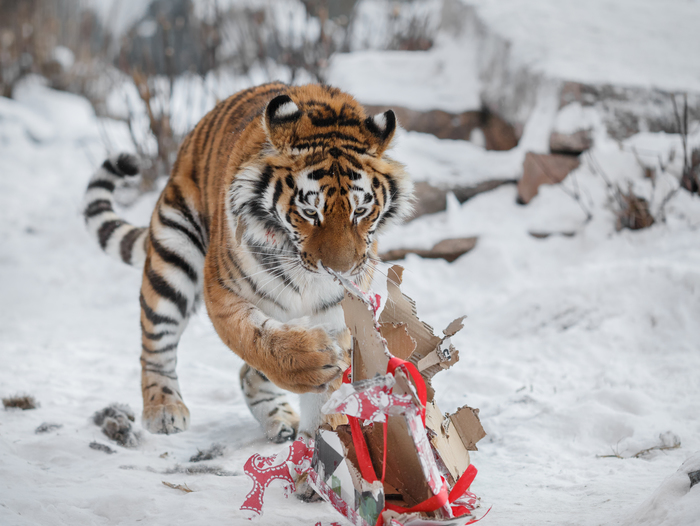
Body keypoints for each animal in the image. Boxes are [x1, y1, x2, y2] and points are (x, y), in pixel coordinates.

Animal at [82, 82, 412, 446]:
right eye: (310, 212)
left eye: (360, 211)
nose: (339, 271)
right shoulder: (221, 290)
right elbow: (254, 338)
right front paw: (309, 362)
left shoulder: (339, 312)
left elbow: (326, 400)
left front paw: (319, 448)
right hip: (172, 256)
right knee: (155, 348)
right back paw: (164, 409)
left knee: (246, 374)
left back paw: (278, 418)